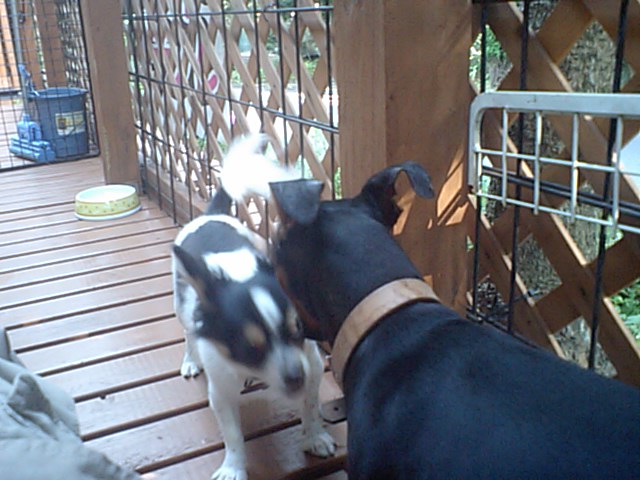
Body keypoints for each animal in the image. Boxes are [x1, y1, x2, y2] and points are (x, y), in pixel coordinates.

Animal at [172, 135, 336, 480]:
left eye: (298, 330)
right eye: (249, 348)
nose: (295, 377)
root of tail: (210, 215)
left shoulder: (312, 365)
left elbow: (310, 405)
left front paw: (314, 436)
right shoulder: (221, 392)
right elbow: (233, 434)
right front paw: (233, 466)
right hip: (181, 305)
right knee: (189, 334)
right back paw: (190, 361)